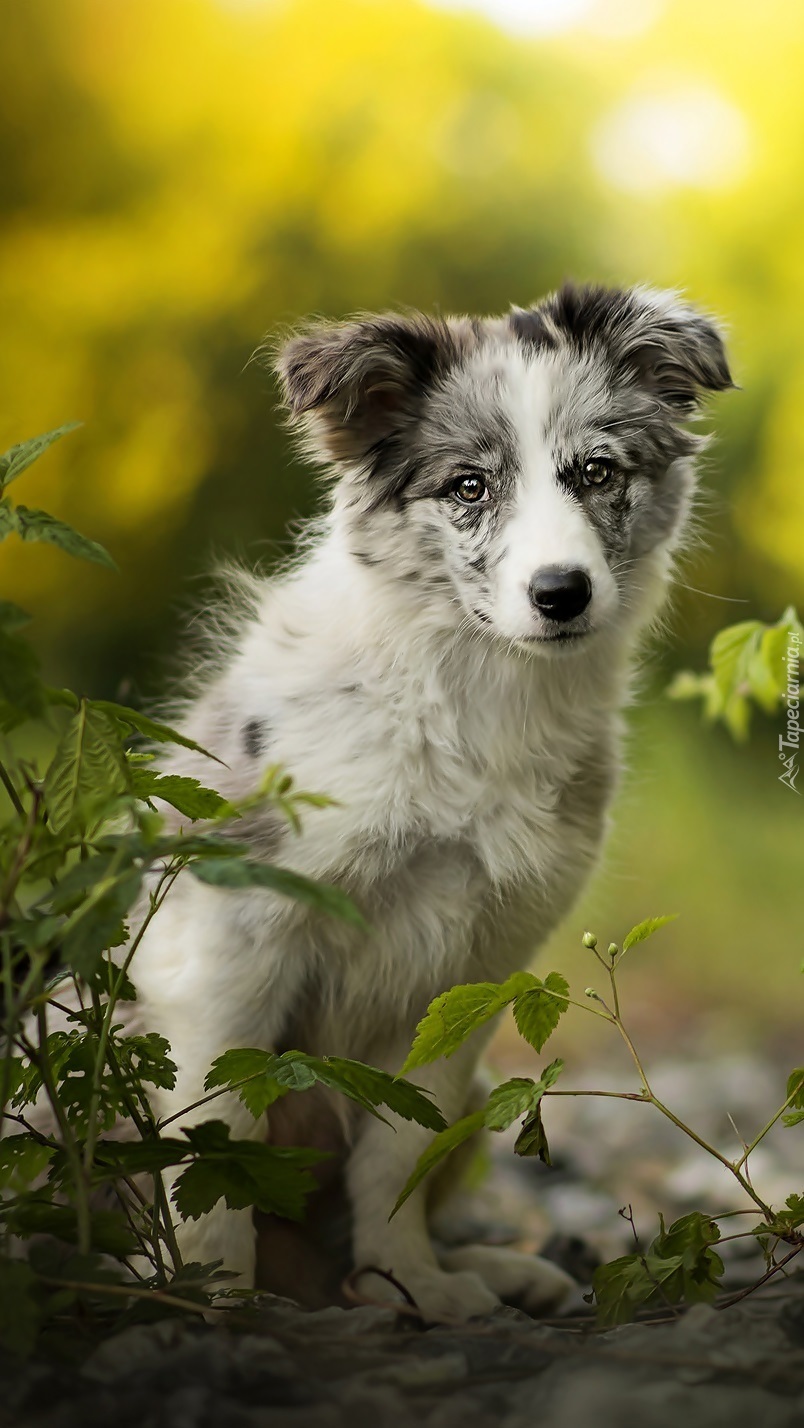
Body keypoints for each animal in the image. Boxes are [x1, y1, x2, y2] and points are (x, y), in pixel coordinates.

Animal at [133, 284, 736, 1319]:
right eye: (468, 487)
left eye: (597, 471)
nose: (562, 593)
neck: (473, 697)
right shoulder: (233, 936)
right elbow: (218, 1137)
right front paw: (217, 1296)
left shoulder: (473, 970)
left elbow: (401, 1150)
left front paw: (411, 1282)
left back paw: (479, 1271)